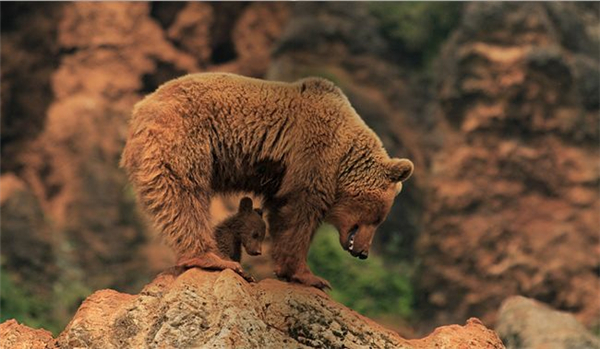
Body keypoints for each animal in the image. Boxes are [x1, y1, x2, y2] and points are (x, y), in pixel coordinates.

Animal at [122, 72, 412, 288]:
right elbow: (300, 212)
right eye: (378, 218)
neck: (343, 159)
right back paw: (212, 258)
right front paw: (311, 276)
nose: (363, 252)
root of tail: (140, 108)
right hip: (186, 138)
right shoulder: (312, 153)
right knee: (183, 195)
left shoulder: (281, 174)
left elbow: (282, 212)